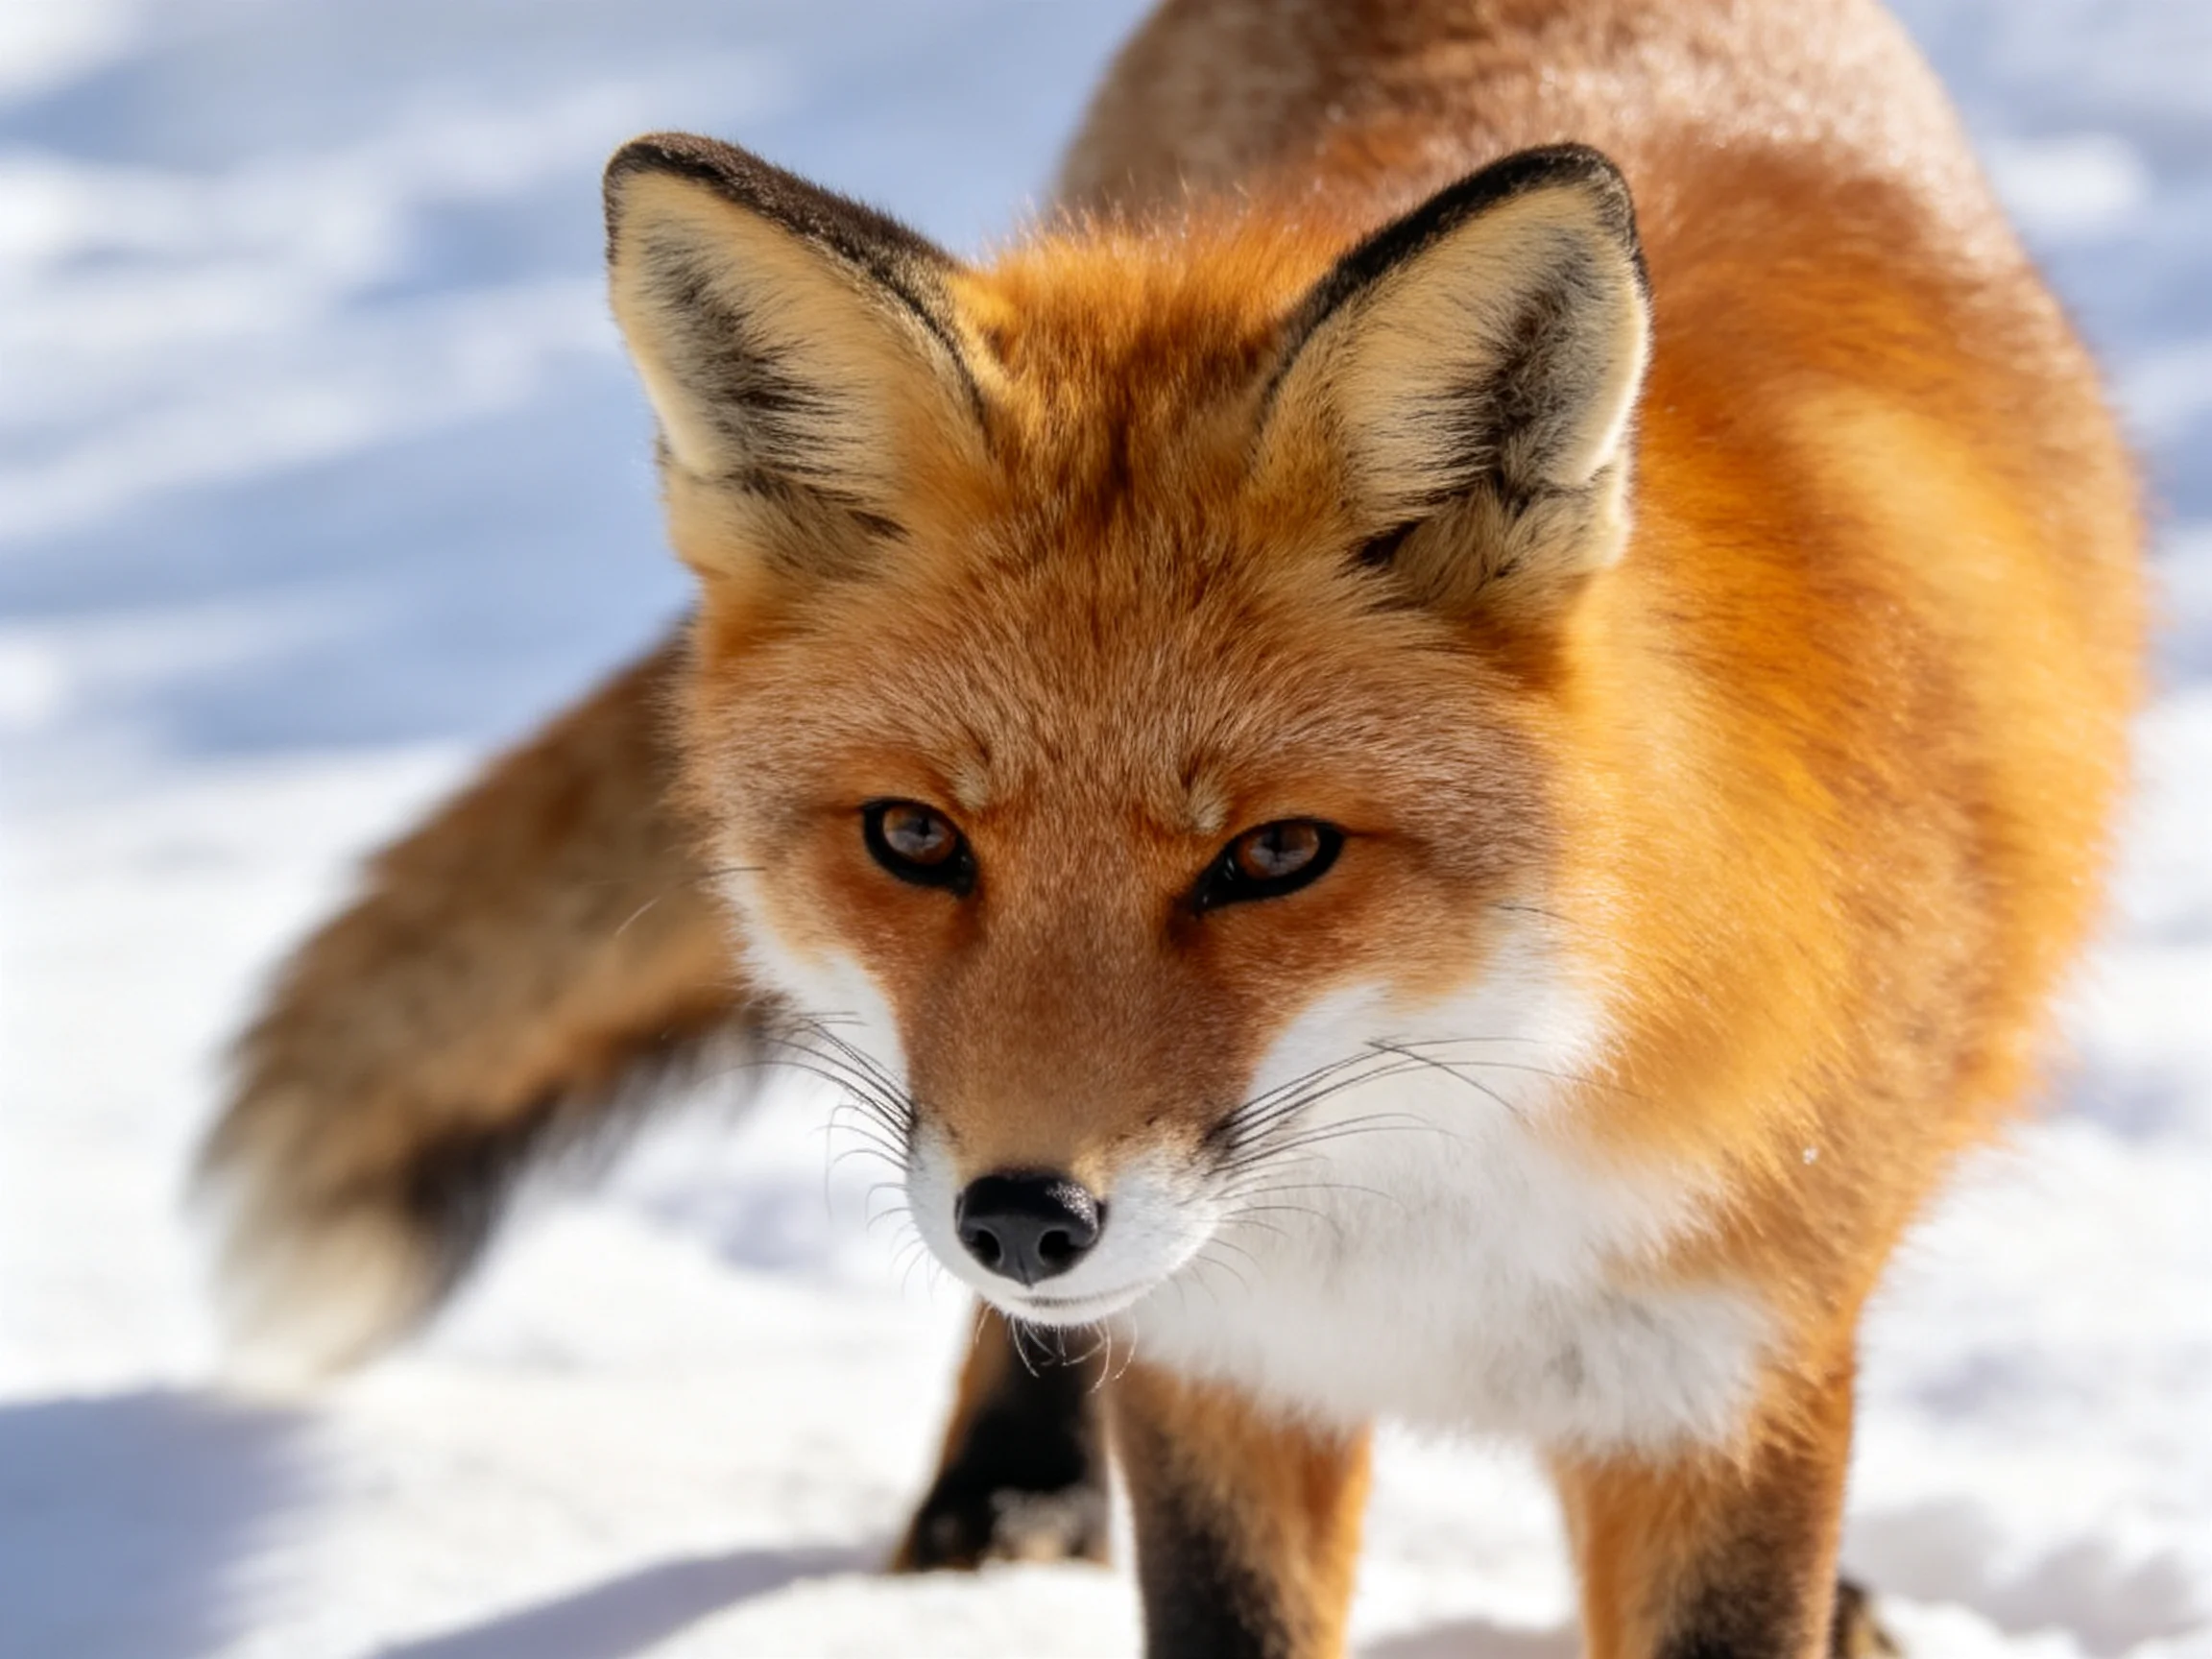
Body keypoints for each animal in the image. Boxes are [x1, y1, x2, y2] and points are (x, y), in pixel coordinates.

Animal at [196, 0, 2144, 1654]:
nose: (1022, 1221)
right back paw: (998, 1502)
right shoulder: (1222, 1374)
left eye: (1274, 856)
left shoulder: (1721, 1388)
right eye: (914, 839)